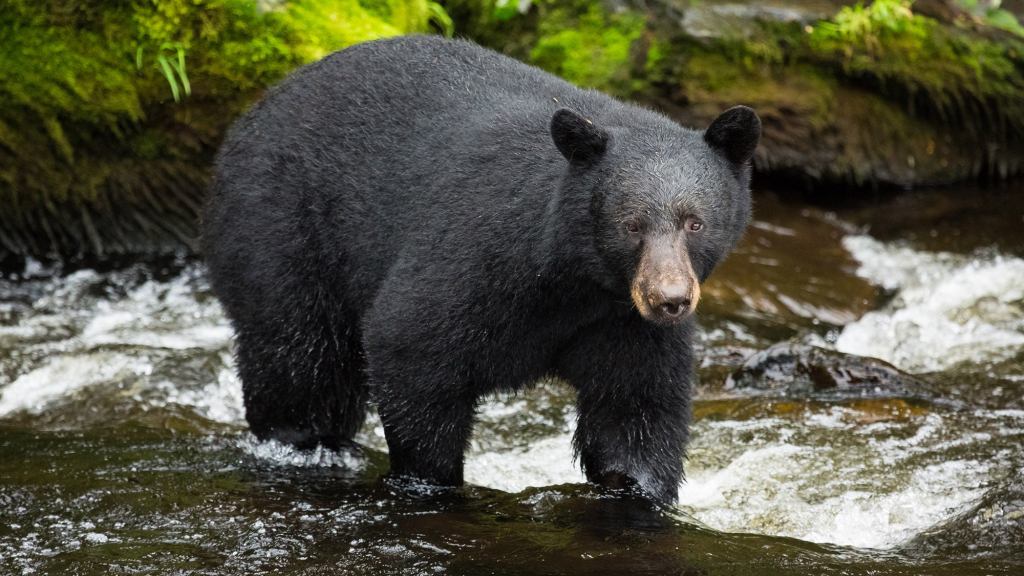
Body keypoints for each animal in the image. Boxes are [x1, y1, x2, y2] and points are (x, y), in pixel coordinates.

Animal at [201, 35, 761, 502]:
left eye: (695, 222)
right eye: (631, 225)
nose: (670, 299)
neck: (573, 280)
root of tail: (254, 111)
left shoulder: (621, 322)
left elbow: (634, 410)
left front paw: (638, 489)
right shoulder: (476, 256)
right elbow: (410, 344)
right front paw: (431, 480)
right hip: (282, 229)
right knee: (300, 356)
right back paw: (306, 442)